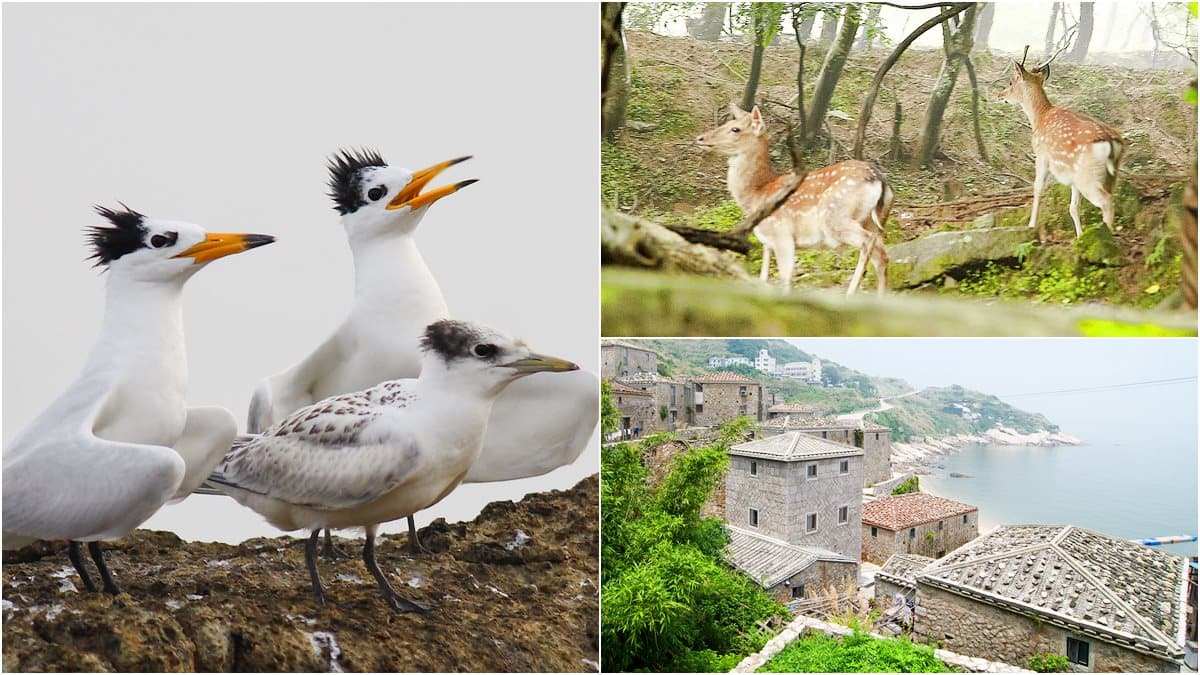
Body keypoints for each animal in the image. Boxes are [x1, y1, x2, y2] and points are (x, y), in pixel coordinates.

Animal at [695, 103, 893, 295]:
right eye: (726, 123)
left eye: (735, 129)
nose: (700, 138)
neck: (758, 194)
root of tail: (878, 179)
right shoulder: (767, 242)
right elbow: (763, 278)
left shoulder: (782, 234)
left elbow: (785, 280)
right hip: (875, 222)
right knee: (882, 256)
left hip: (836, 218)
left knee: (867, 243)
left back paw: (850, 294)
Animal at [998, 52, 1125, 238]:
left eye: (1010, 82)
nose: (1000, 95)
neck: (1039, 118)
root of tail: (1110, 141)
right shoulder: (1071, 176)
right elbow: (1073, 207)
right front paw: (1079, 237)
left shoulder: (1041, 155)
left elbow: (1038, 188)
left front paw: (1031, 225)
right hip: (1109, 175)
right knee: (1109, 197)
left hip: (1087, 175)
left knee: (1106, 202)